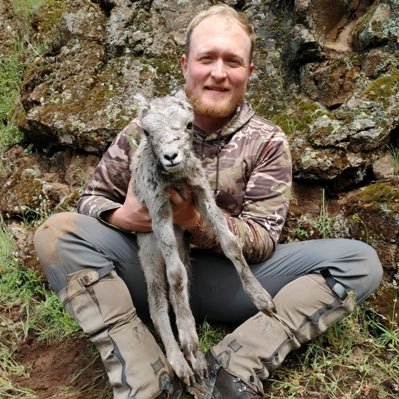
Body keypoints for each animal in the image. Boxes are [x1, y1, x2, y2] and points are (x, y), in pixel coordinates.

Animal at [131, 93, 276, 388]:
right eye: (147, 132)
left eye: (188, 124)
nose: (171, 156)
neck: (176, 179)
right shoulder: (158, 209)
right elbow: (174, 275)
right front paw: (188, 339)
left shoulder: (201, 193)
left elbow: (231, 243)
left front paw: (263, 301)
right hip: (149, 251)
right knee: (158, 301)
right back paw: (182, 362)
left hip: (182, 248)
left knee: (180, 291)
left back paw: (196, 363)